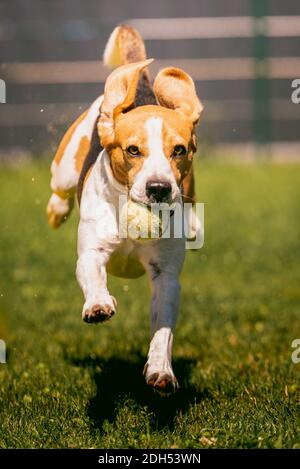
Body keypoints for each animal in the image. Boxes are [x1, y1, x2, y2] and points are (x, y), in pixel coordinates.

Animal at [47, 23, 204, 394]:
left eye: (178, 150)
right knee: (59, 186)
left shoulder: (166, 277)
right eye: (133, 150)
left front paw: (160, 370)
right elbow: (93, 275)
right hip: (66, 164)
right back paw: (56, 209)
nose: (159, 188)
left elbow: (163, 331)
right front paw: (99, 305)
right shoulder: (92, 253)